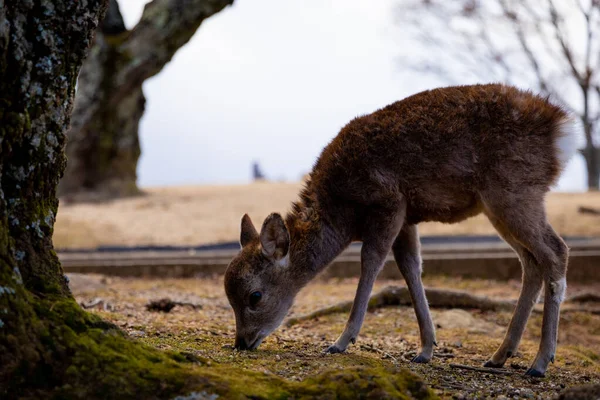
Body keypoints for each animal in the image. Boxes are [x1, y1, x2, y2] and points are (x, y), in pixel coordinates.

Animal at [224, 83, 576, 376]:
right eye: (229, 297)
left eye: (255, 296)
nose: (242, 342)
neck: (342, 215)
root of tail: (562, 129)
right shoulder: (407, 217)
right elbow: (410, 267)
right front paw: (426, 348)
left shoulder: (390, 202)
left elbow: (371, 262)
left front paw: (341, 341)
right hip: (500, 204)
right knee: (531, 262)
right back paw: (500, 355)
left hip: (513, 190)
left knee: (556, 251)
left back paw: (540, 362)